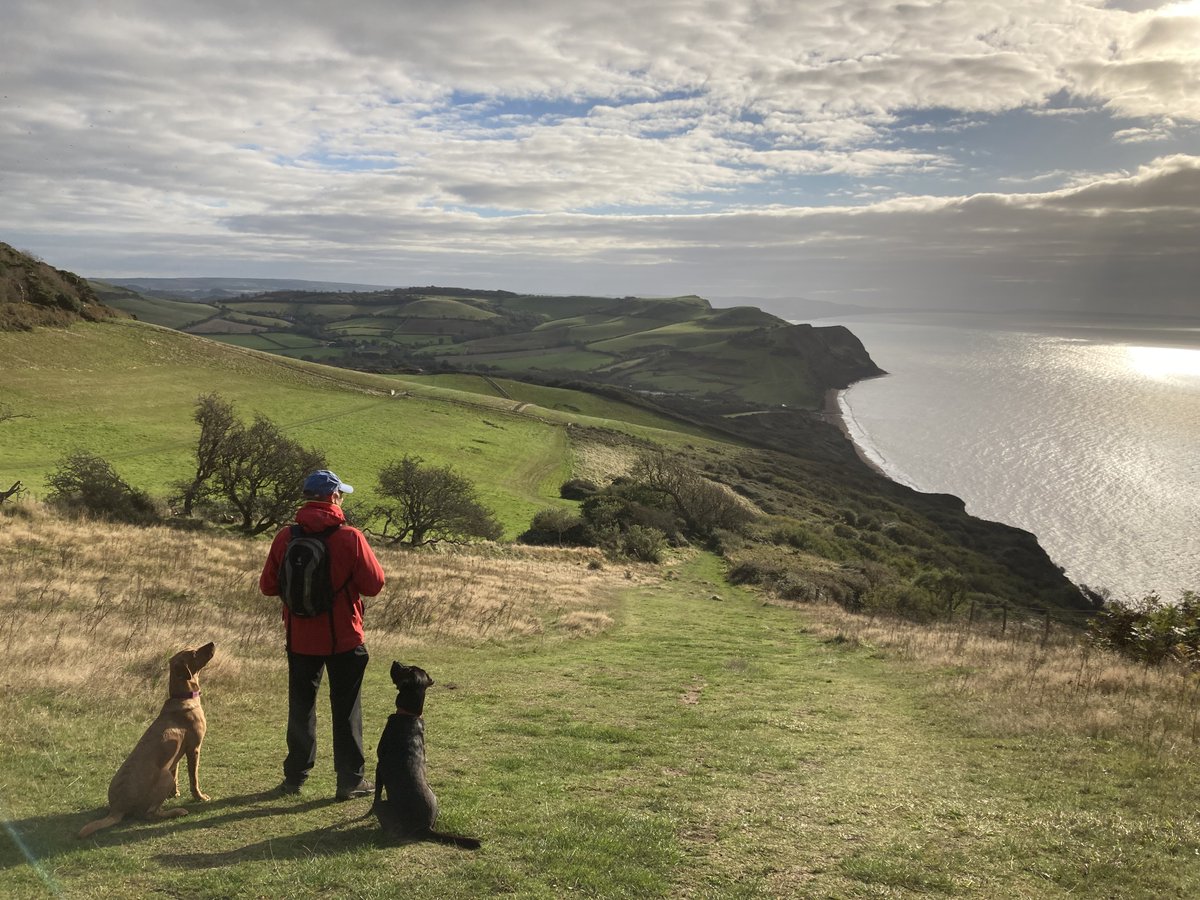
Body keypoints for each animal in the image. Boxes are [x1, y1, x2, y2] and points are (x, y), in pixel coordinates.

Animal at [367, 657, 480, 849]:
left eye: (406, 669)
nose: (396, 661)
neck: (409, 714)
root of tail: (426, 828)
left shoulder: (379, 766)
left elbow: (376, 794)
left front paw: (367, 814)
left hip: (384, 806)